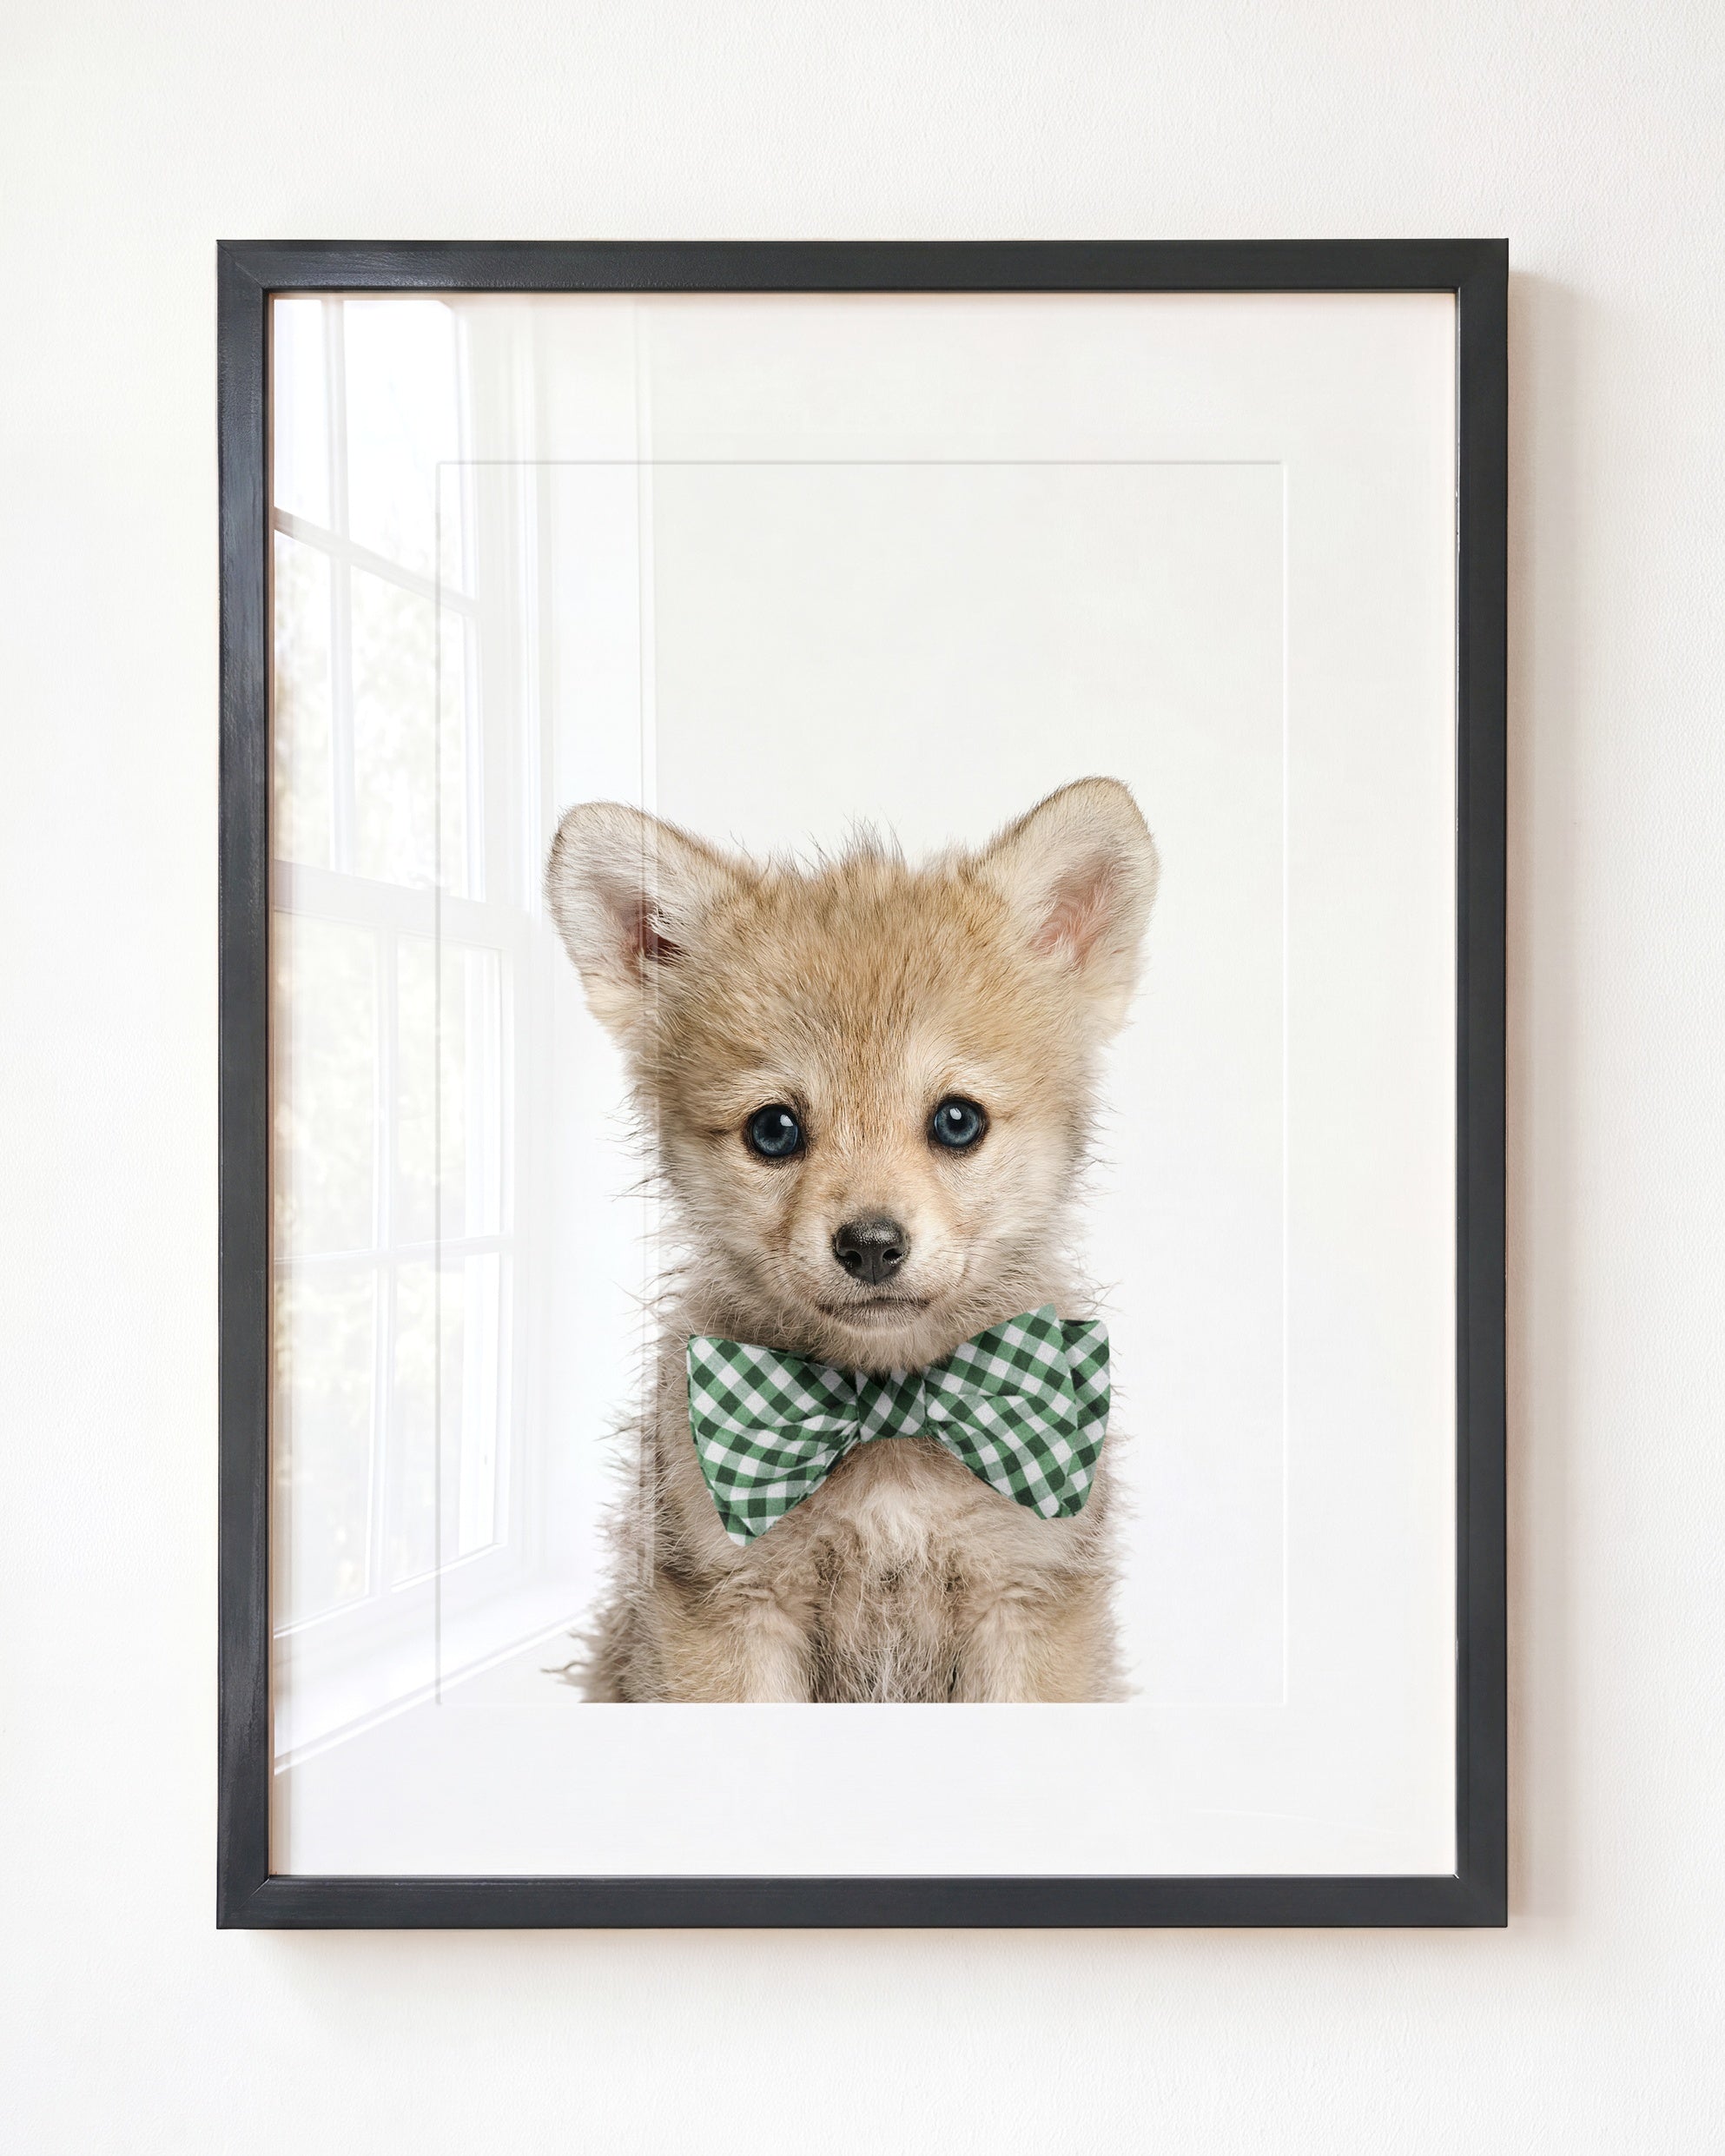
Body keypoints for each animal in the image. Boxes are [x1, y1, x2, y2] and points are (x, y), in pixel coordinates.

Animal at [545, 777, 1159, 1701]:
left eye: (957, 1121)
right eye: (773, 1131)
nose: (871, 1245)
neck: (888, 1420)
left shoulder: (1025, 1598)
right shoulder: (733, 1605)